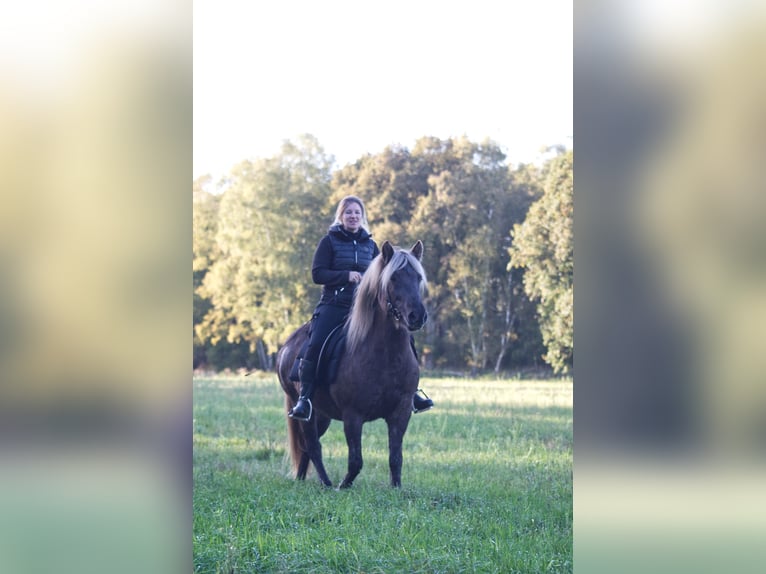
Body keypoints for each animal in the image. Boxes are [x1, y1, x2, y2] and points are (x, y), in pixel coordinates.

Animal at [278, 241, 432, 488]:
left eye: (418, 277)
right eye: (393, 278)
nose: (417, 316)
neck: (385, 355)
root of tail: (286, 348)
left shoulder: (400, 412)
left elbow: (395, 457)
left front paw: (396, 488)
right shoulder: (353, 416)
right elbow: (356, 460)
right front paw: (343, 486)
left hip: (322, 414)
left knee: (306, 448)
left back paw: (301, 479)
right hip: (303, 409)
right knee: (312, 445)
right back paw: (326, 483)